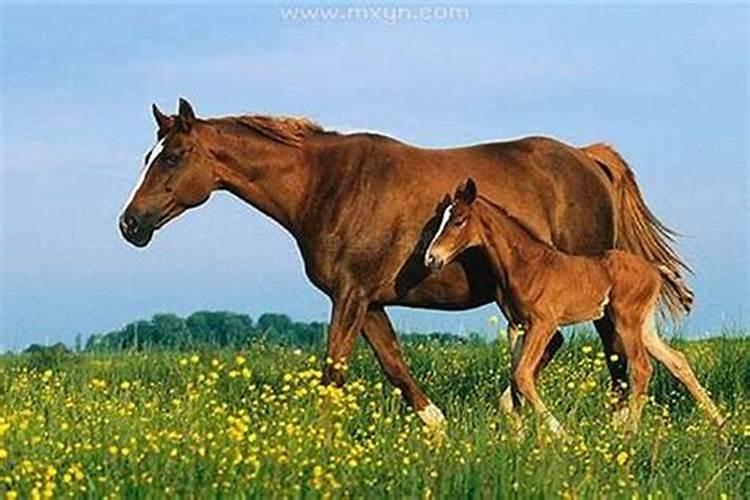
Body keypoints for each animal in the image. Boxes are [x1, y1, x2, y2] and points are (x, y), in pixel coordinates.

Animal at [119, 98, 692, 428]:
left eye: (172, 157)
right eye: (148, 157)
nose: (130, 224)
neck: (328, 185)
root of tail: (587, 156)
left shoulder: (349, 296)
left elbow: (334, 371)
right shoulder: (368, 301)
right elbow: (394, 364)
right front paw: (436, 426)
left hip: (598, 300)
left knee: (616, 359)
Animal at [425, 178, 723, 433]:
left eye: (459, 221)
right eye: (440, 220)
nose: (431, 258)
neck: (524, 264)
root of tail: (653, 268)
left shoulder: (543, 325)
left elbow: (522, 375)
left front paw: (560, 434)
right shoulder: (516, 326)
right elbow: (514, 378)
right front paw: (519, 438)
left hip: (625, 320)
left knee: (642, 367)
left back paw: (630, 434)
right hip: (644, 325)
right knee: (677, 360)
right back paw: (720, 422)